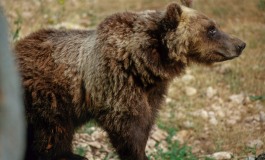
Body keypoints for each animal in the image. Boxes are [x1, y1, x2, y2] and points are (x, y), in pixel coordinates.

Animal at [14, 2, 245, 160]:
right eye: (211, 29)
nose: (240, 44)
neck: (143, 63)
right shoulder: (116, 82)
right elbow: (128, 126)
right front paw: (137, 153)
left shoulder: (153, 91)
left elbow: (146, 122)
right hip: (49, 94)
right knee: (53, 132)